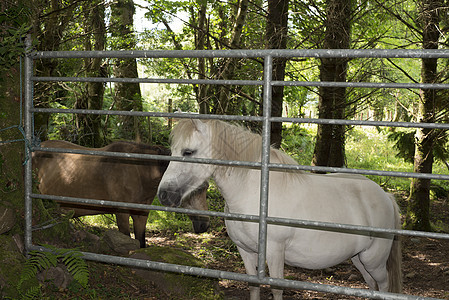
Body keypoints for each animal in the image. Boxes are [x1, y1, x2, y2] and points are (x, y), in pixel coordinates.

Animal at [32, 141, 209, 248]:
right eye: (196, 189)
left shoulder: (141, 214)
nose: (204, 225)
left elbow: (141, 242)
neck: (139, 172)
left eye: (206, 188)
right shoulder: (121, 213)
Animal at [157, 118, 400, 298]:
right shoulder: (245, 251)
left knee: (383, 287)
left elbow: (276, 289)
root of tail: (386, 196)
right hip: (360, 260)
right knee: (372, 287)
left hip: (374, 260)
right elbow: (254, 286)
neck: (255, 194)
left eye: (188, 152)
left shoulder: (274, 252)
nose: (163, 195)